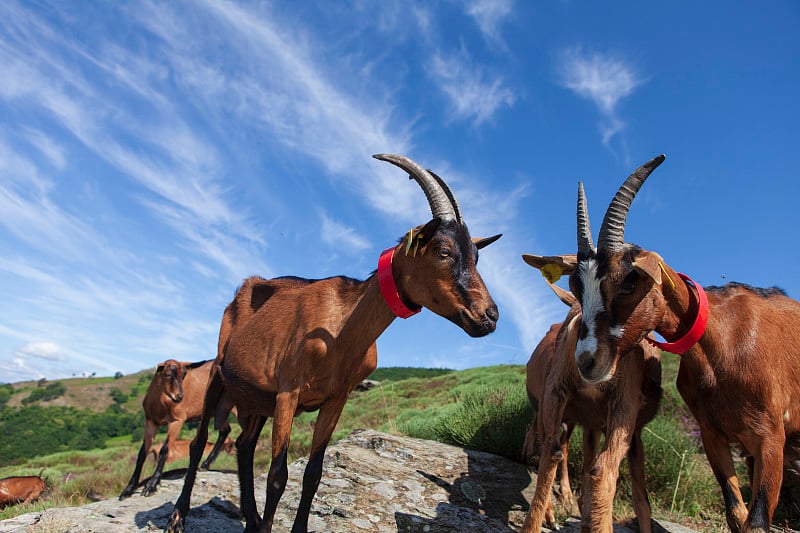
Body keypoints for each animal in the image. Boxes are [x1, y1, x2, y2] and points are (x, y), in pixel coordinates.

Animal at [119, 358, 233, 498]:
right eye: (167, 374)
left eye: (183, 375)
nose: (179, 397)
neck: (161, 403)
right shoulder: (151, 422)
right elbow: (142, 453)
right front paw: (128, 490)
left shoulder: (177, 421)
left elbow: (164, 450)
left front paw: (151, 485)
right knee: (225, 430)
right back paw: (205, 464)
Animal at [166, 154, 496, 532]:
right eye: (443, 251)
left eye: (476, 256)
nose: (490, 315)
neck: (343, 328)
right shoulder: (288, 392)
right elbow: (277, 475)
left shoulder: (335, 399)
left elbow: (313, 474)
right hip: (220, 374)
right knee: (198, 442)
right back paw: (178, 516)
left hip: (256, 398)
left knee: (245, 445)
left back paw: (249, 516)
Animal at [556, 152, 800, 528]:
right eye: (576, 287)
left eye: (629, 281)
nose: (586, 360)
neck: (725, 340)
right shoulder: (713, 436)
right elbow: (736, 512)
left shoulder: (771, 437)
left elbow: (756, 520)